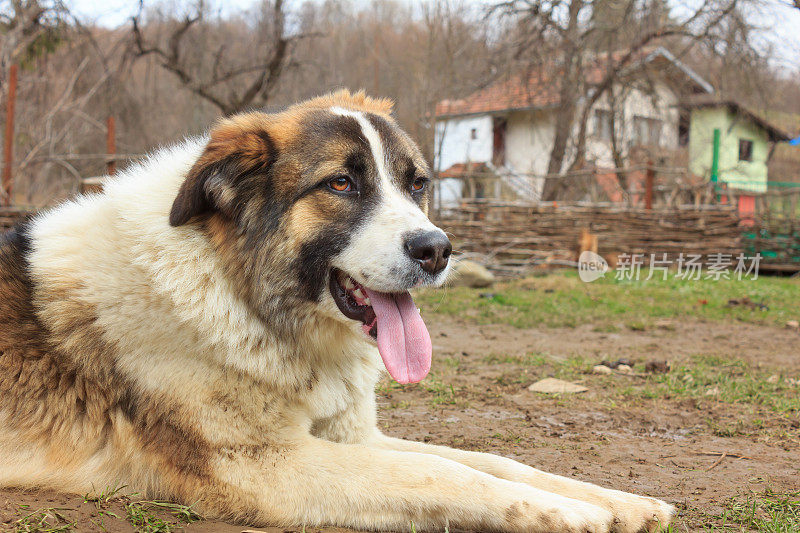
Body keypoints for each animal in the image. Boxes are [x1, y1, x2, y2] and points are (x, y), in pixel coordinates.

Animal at [0, 91, 676, 532]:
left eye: (417, 185)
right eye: (340, 185)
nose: (437, 250)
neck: (242, 297)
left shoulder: (356, 438)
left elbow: (487, 460)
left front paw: (621, 501)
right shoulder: (264, 468)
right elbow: (442, 475)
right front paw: (571, 513)